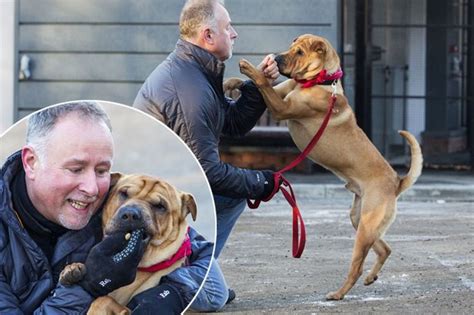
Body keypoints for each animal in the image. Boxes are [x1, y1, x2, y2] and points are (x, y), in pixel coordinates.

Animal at [224, 34, 424, 302]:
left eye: (299, 52)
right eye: (291, 47)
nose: (276, 58)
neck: (321, 82)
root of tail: (397, 182)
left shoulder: (282, 108)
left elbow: (262, 82)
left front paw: (248, 68)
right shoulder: (282, 93)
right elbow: (259, 85)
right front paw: (231, 82)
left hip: (365, 226)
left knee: (357, 266)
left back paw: (338, 293)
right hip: (360, 220)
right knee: (385, 248)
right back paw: (371, 277)